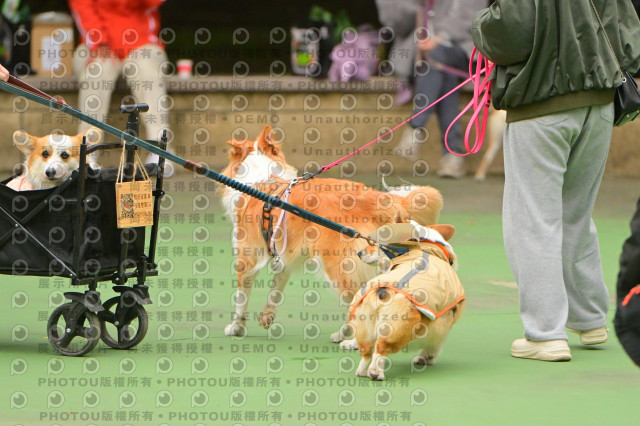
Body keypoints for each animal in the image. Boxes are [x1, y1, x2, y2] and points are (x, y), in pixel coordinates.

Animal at [219, 125, 444, 342]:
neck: (261, 179)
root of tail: (375, 198)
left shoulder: (246, 256)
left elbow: (241, 298)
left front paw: (236, 328)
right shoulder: (283, 256)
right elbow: (276, 289)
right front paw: (267, 315)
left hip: (338, 265)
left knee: (358, 299)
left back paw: (348, 339)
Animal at [345, 220, 465, 380]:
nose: (359, 253)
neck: (429, 246)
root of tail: (382, 291)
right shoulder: (443, 324)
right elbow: (435, 345)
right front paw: (426, 358)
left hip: (364, 326)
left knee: (366, 352)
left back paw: (363, 372)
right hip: (398, 329)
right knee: (381, 348)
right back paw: (376, 373)